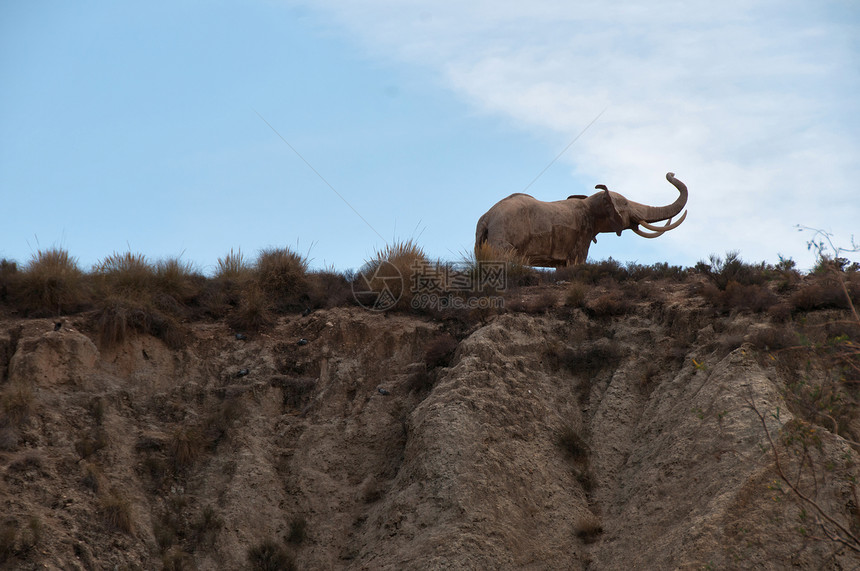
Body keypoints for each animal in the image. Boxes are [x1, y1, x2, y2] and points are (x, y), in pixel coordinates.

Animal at [474, 172, 688, 268]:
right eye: (626, 204)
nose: (671, 173)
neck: (589, 201)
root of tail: (487, 218)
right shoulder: (581, 233)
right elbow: (578, 262)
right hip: (504, 236)